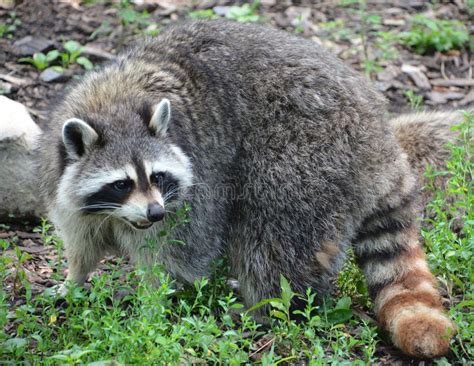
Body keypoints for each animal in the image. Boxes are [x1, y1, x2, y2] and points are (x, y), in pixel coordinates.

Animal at [37, 20, 460, 358]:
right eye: (122, 183)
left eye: (157, 177)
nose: (154, 212)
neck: (115, 104)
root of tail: (379, 133)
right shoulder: (62, 179)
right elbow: (81, 238)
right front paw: (74, 278)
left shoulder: (198, 183)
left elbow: (180, 253)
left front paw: (153, 302)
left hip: (308, 153)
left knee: (272, 238)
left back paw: (266, 305)